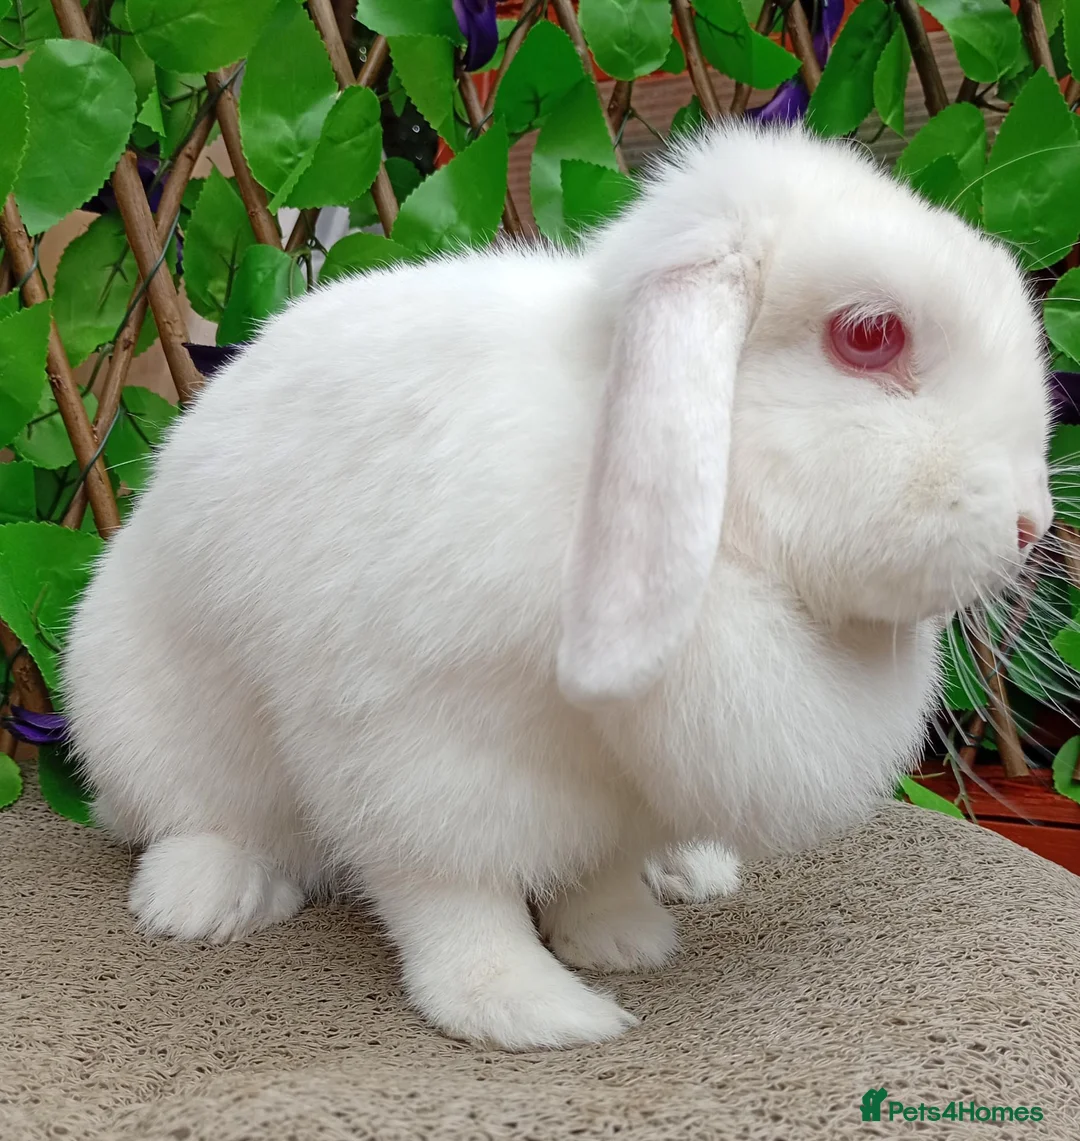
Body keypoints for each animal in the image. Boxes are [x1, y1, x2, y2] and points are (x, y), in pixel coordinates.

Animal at [62, 121, 1053, 1051]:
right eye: (869, 335)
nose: (1031, 523)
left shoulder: (616, 798)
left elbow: (598, 872)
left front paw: (622, 940)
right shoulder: (412, 759)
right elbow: (454, 901)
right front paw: (533, 1009)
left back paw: (689, 872)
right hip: (150, 721)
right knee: (189, 815)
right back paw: (203, 899)